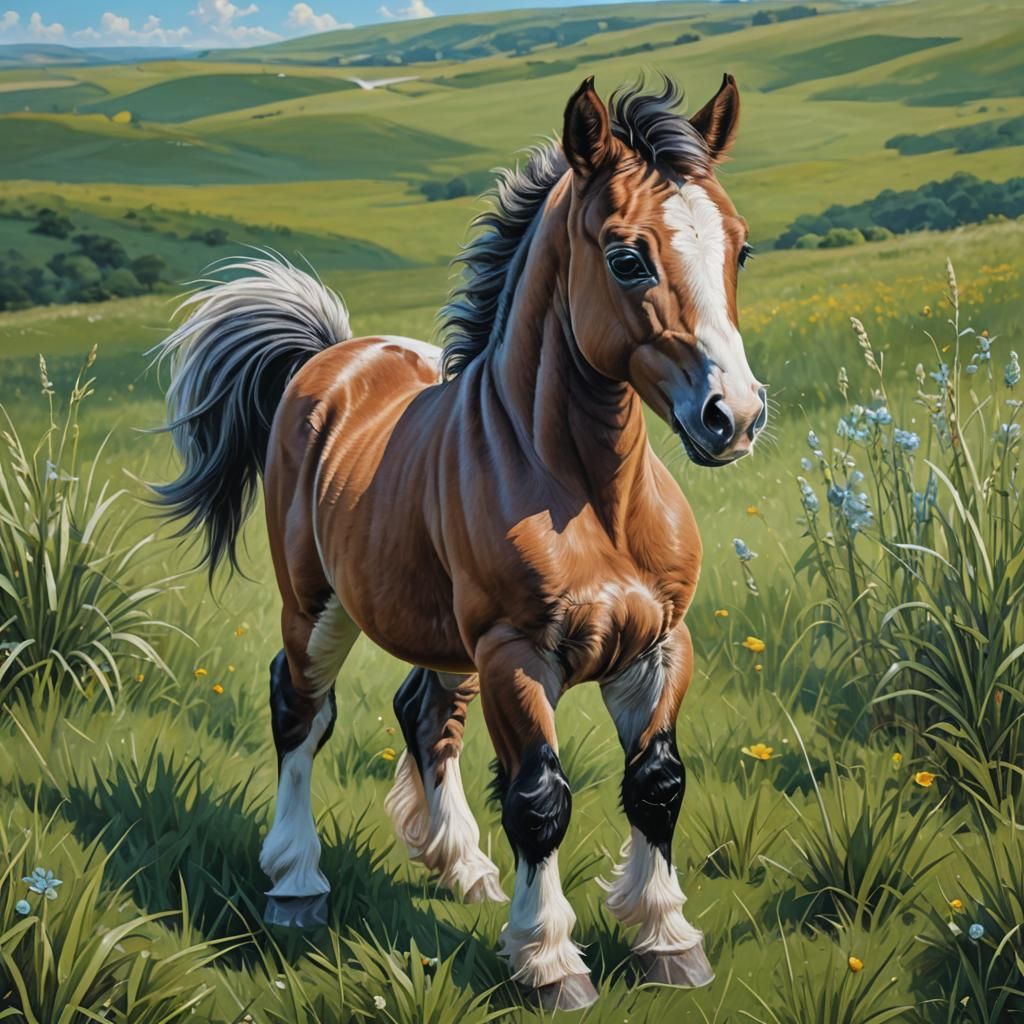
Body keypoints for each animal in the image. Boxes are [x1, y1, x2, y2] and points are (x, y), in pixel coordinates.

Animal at [154, 73, 766, 1011]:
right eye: (628, 257)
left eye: (739, 249)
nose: (733, 416)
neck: (594, 503)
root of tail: (334, 357)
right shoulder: (517, 653)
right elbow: (540, 798)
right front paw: (550, 963)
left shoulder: (659, 645)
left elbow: (657, 785)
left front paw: (667, 941)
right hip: (318, 608)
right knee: (301, 712)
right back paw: (297, 886)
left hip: (444, 636)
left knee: (425, 714)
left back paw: (465, 868)